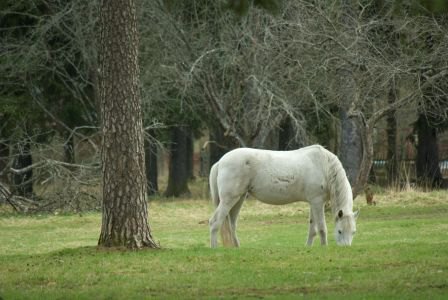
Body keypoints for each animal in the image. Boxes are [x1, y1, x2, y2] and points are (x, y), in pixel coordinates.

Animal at [208, 144, 358, 247]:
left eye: (353, 232)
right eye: (340, 231)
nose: (346, 248)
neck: (325, 167)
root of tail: (220, 162)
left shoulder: (313, 202)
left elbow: (312, 228)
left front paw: (308, 247)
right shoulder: (317, 202)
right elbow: (321, 228)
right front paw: (324, 247)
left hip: (239, 199)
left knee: (232, 224)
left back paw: (236, 248)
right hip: (229, 200)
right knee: (215, 222)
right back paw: (214, 248)